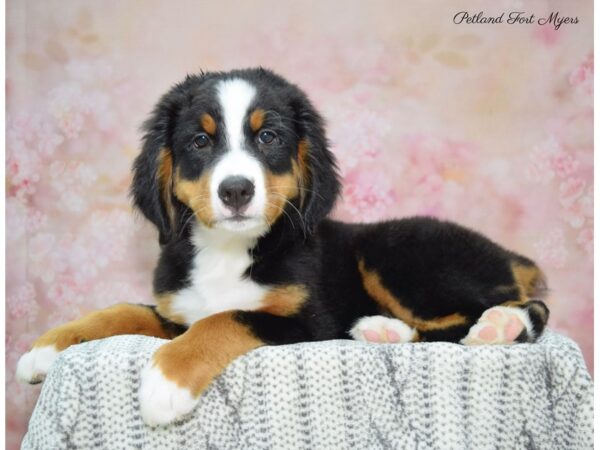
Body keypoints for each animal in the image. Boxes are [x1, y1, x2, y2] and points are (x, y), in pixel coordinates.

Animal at [16, 67, 548, 426]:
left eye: (268, 136)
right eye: (200, 142)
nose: (235, 190)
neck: (228, 250)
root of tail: (510, 255)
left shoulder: (307, 322)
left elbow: (225, 319)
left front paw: (165, 382)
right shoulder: (177, 311)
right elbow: (123, 310)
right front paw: (47, 348)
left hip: (397, 255)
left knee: (512, 308)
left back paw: (495, 327)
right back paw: (382, 331)